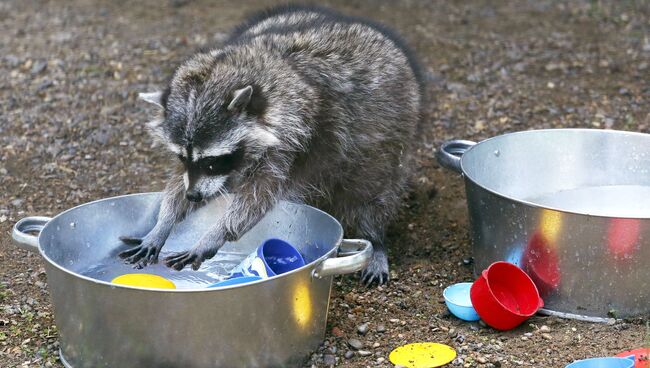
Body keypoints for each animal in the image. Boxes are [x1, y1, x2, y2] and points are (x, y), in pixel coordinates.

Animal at [118, 4, 422, 284]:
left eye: (212, 161)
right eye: (183, 157)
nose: (193, 196)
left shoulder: (299, 136)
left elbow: (259, 194)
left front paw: (216, 233)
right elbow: (201, 183)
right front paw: (164, 222)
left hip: (389, 133)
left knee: (373, 190)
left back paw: (375, 237)